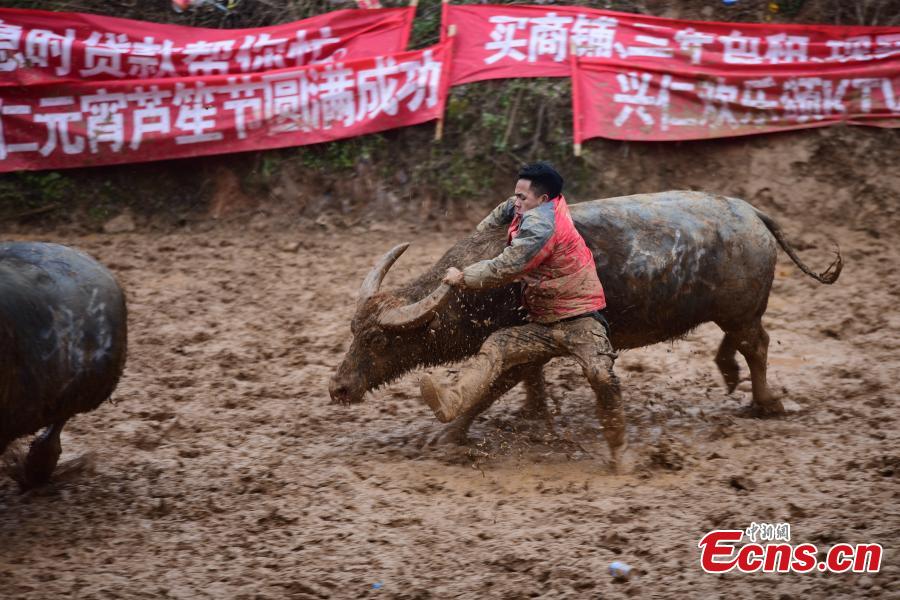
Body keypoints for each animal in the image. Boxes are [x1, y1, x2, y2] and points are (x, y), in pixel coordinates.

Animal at [330, 192, 844, 446]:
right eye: (354, 331)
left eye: (379, 340)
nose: (338, 387)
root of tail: (752, 213)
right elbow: (526, 378)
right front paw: (534, 413)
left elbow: (491, 386)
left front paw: (447, 436)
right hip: (732, 314)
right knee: (739, 343)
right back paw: (730, 373)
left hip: (742, 313)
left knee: (758, 345)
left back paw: (764, 402)